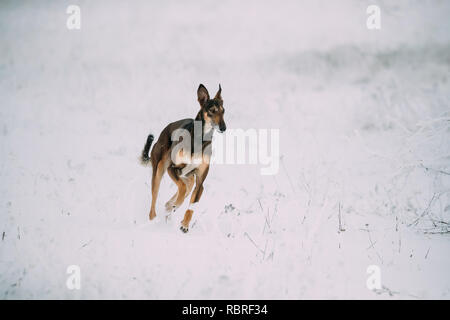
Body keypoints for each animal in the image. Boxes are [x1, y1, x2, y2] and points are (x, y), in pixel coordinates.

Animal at [140, 83, 225, 232]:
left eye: (223, 111)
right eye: (212, 111)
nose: (223, 128)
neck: (200, 139)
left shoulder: (200, 183)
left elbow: (191, 205)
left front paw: (185, 224)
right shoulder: (172, 169)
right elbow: (181, 189)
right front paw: (175, 205)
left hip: (189, 178)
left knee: (184, 189)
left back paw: (169, 207)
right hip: (160, 169)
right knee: (154, 200)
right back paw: (155, 219)